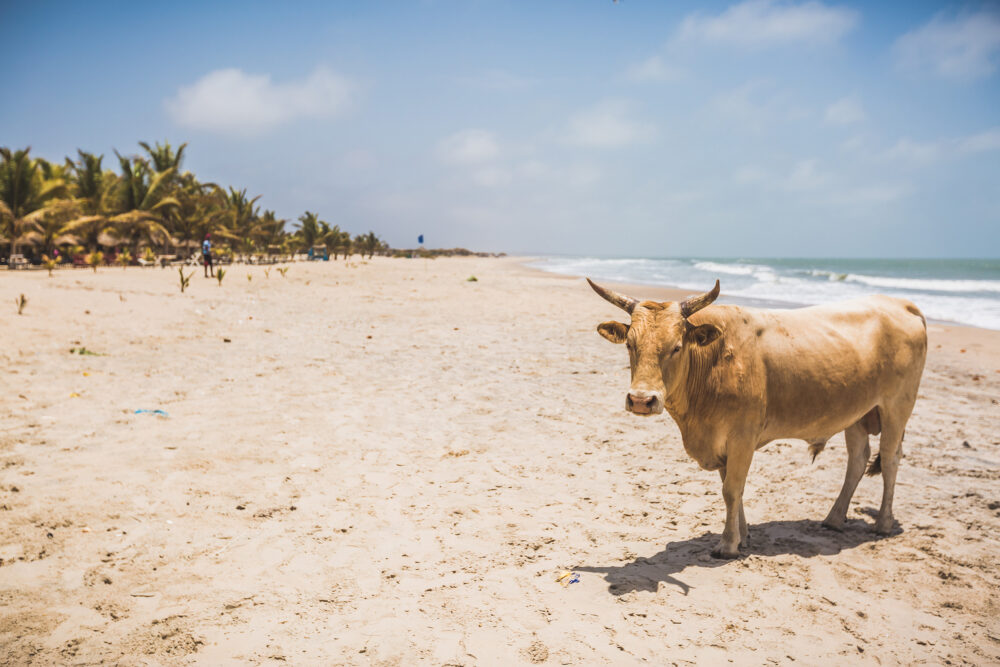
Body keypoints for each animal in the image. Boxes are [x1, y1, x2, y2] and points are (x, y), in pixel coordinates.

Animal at [584, 280, 928, 560]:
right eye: (631, 345)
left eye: (676, 347)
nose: (641, 400)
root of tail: (901, 304)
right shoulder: (723, 442)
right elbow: (732, 488)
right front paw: (743, 535)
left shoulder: (742, 437)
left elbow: (731, 489)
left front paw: (728, 544)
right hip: (856, 413)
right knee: (858, 459)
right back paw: (833, 519)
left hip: (897, 407)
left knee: (890, 458)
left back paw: (882, 523)